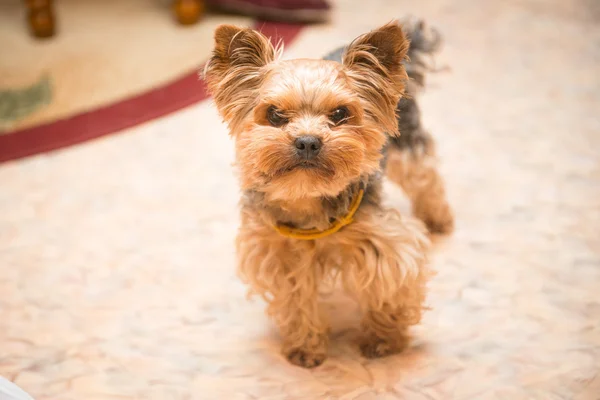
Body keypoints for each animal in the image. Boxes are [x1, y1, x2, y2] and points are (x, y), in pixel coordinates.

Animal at [204, 19, 452, 368]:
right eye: (275, 114)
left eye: (339, 114)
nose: (308, 141)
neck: (305, 196)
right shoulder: (279, 255)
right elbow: (295, 302)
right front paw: (305, 348)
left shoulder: (384, 245)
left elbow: (387, 289)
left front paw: (383, 340)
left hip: (406, 141)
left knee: (424, 174)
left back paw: (438, 218)